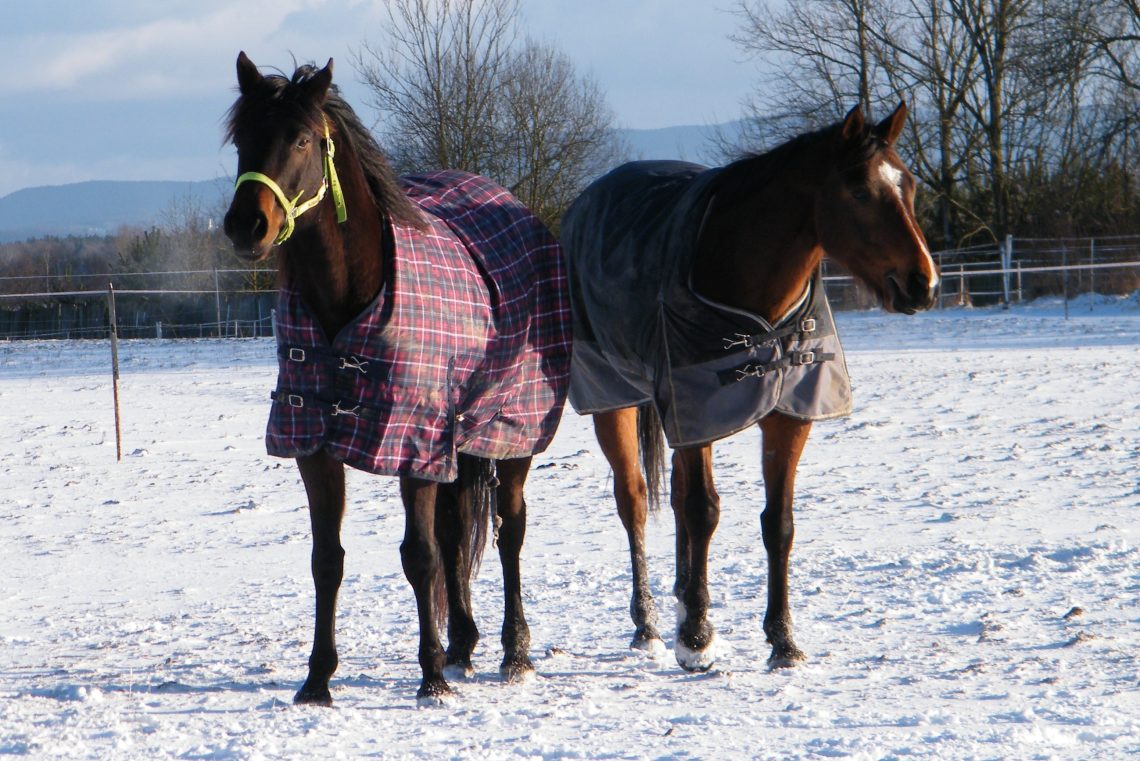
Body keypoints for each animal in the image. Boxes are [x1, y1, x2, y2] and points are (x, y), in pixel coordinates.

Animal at [222, 52, 571, 705]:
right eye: (241, 138)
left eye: (301, 138)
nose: (246, 226)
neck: (349, 298)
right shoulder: (315, 441)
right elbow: (327, 560)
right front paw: (317, 679)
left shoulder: (412, 440)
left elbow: (420, 556)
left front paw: (429, 677)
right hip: (459, 439)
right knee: (460, 532)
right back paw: (464, 643)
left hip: (512, 433)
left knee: (509, 531)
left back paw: (514, 652)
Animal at [559, 104, 938, 671]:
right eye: (857, 190)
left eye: (909, 184)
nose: (923, 284)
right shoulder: (697, 411)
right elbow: (703, 511)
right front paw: (696, 639)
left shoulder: (788, 416)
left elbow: (777, 523)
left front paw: (782, 640)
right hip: (614, 401)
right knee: (635, 501)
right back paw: (649, 625)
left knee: (674, 499)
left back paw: (681, 601)